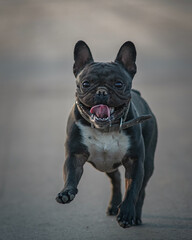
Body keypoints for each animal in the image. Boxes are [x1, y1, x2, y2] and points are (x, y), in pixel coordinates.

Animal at [56, 40, 158, 228]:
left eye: (118, 84)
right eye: (86, 84)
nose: (102, 91)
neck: (105, 128)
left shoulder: (135, 162)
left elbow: (132, 189)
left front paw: (126, 214)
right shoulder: (75, 155)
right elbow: (71, 174)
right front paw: (66, 192)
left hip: (148, 164)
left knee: (141, 190)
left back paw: (135, 216)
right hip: (106, 163)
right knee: (116, 178)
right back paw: (113, 205)